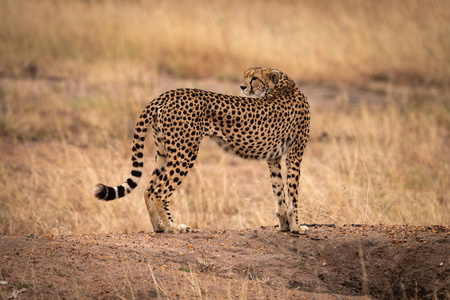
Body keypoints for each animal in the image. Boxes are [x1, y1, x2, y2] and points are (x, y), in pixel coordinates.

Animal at [91, 67, 310, 234]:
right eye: (246, 76)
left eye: (254, 78)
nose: (242, 87)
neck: (281, 86)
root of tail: (166, 94)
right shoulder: (294, 155)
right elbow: (293, 193)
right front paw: (297, 227)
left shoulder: (274, 158)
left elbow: (280, 192)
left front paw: (284, 225)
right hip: (185, 153)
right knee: (160, 192)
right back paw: (173, 227)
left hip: (164, 153)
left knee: (148, 189)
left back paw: (159, 226)